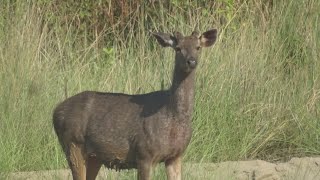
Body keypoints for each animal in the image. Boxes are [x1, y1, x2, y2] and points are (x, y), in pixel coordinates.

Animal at [53, 28, 218, 180]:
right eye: (178, 48)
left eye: (198, 47)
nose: (191, 61)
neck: (172, 117)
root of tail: (55, 111)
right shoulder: (144, 153)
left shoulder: (176, 155)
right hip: (73, 143)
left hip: (93, 156)